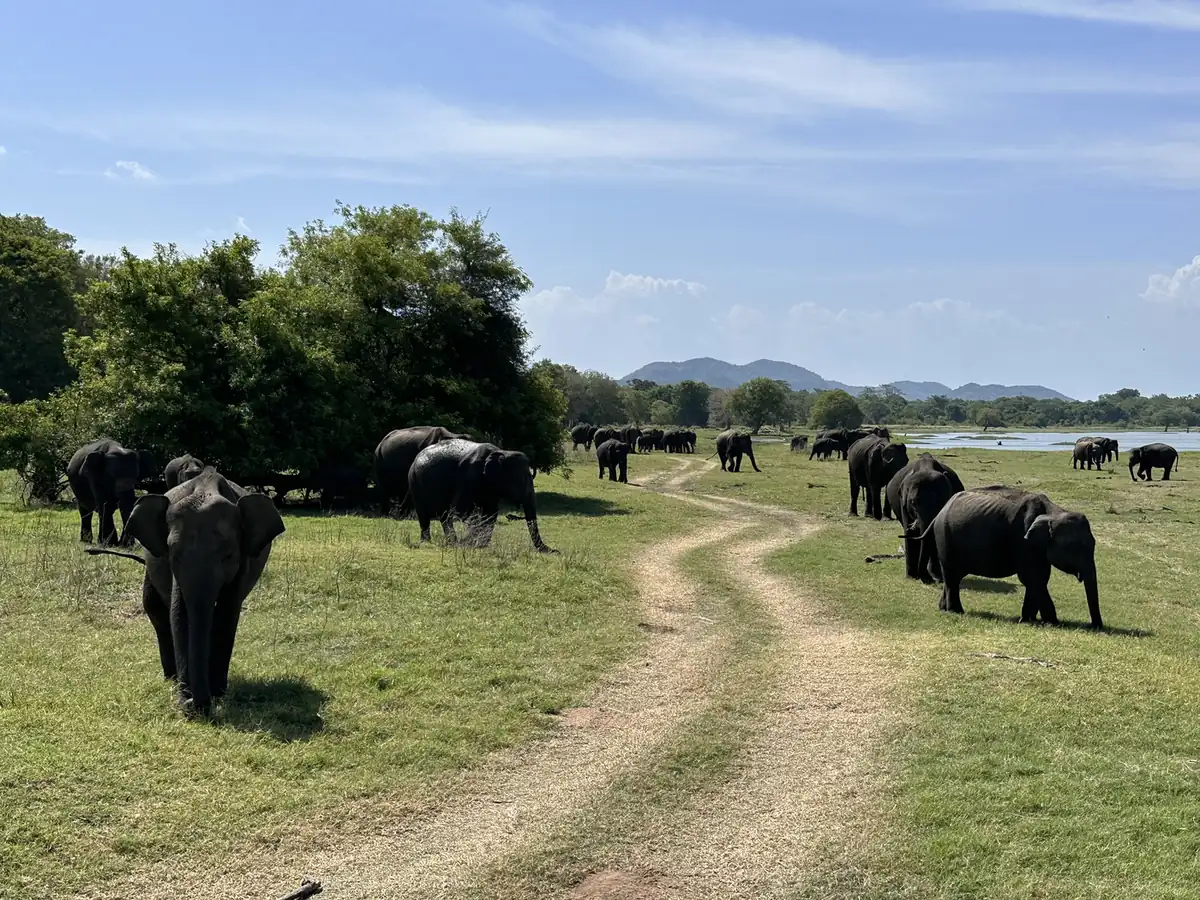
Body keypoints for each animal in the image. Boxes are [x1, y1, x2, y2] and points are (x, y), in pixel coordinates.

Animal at [86, 467, 286, 716]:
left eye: (228, 555)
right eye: (174, 553)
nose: (193, 704)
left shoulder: (244, 562)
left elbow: (227, 614)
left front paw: (216, 693)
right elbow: (178, 615)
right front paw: (188, 696)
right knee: (156, 612)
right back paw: (171, 678)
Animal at [408, 439, 554, 553]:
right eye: (521, 481)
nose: (555, 551)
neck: (502, 452)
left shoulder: (491, 488)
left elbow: (491, 512)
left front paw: (479, 545)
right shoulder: (469, 478)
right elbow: (461, 509)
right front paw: (471, 542)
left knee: (444, 516)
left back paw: (452, 542)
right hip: (415, 483)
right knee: (425, 514)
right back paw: (429, 542)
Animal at [915, 485, 1102, 629]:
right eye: (1075, 548)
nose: (1095, 627)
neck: (1053, 511)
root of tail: (939, 514)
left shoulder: (1035, 547)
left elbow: (1039, 578)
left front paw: (1027, 620)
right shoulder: (1023, 541)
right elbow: (1032, 577)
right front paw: (1053, 623)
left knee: (953, 577)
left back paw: (943, 609)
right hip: (945, 538)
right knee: (952, 575)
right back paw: (956, 611)